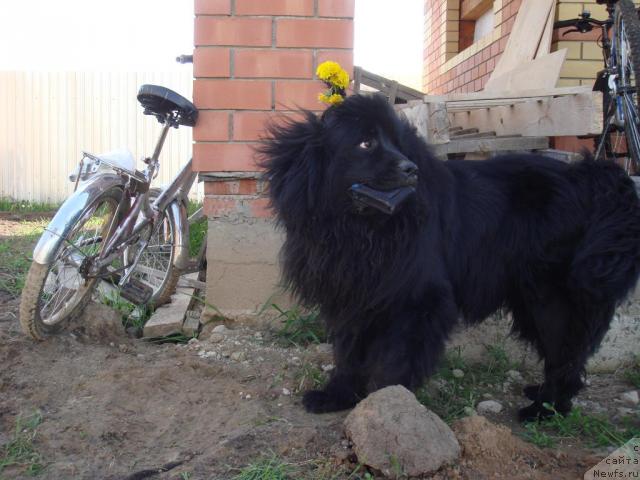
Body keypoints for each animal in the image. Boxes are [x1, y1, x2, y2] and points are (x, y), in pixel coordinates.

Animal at [258, 93, 640, 420]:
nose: (410, 168)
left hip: (553, 295)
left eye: (398, 144)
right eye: (365, 143)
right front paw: (336, 395)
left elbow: (397, 359)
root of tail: (591, 175)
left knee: (566, 352)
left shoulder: (418, 299)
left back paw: (546, 409)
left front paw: (389, 406)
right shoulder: (351, 297)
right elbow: (349, 353)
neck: (362, 230)